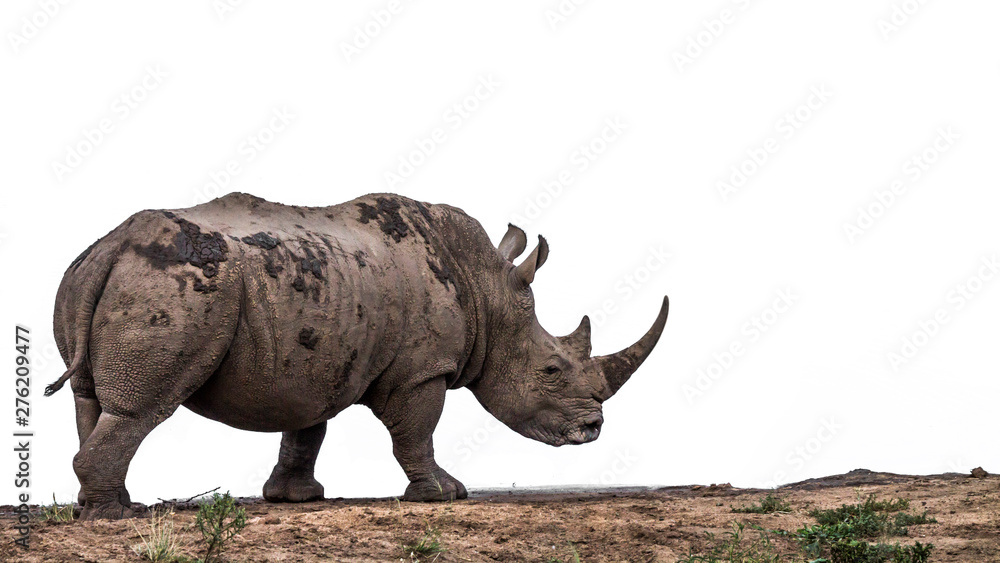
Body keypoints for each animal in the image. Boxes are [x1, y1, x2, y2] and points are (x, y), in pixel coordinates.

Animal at [47, 192, 668, 519]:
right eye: (552, 371)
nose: (593, 429)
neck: (485, 292)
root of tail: (113, 246)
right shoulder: (422, 370)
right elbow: (416, 431)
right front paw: (444, 494)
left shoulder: (315, 356)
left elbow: (306, 428)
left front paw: (295, 498)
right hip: (176, 284)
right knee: (142, 406)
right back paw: (116, 515)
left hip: (85, 276)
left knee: (91, 396)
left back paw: (104, 504)